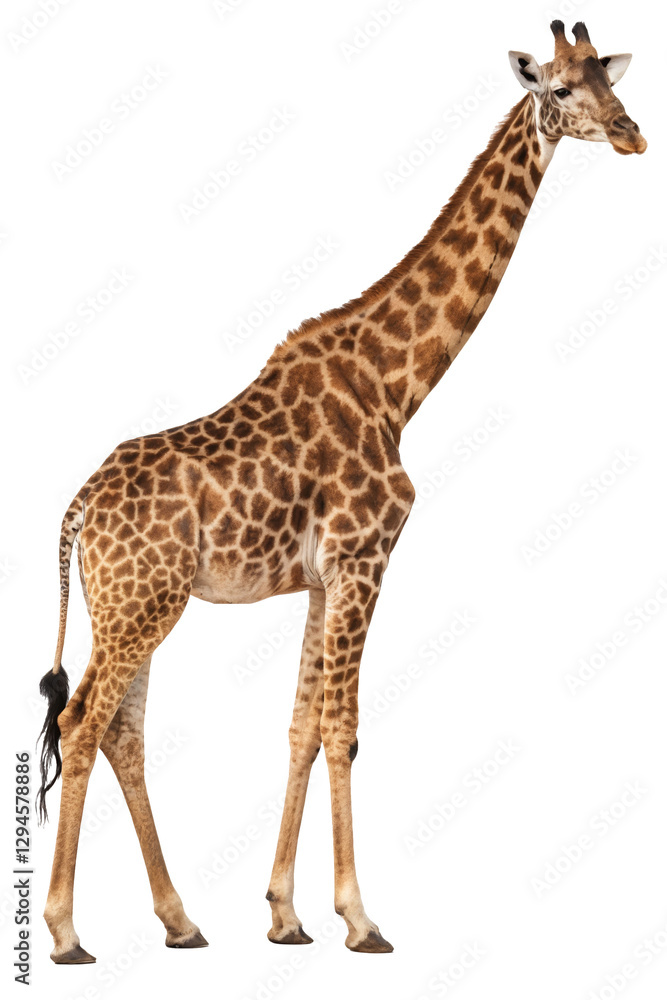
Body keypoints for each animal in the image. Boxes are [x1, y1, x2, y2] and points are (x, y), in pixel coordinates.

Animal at [37, 21, 646, 963]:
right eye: (558, 90)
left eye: (608, 81)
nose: (629, 135)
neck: (397, 386)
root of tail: (74, 514)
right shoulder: (364, 558)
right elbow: (343, 729)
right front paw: (360, 919)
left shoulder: (324, 578)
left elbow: (300, 725)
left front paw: (285, 915)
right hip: (143, 604)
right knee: (82, 723)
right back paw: (67, 933)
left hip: (131, 605)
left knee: (118, 732)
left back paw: (180, 921)